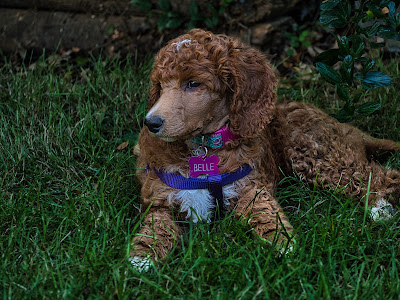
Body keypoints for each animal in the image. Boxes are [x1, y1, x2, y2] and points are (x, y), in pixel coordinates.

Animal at [130, 29, 398, 270]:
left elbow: (266, 212)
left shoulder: (251, 187)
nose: (151, 123)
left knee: (380, 175)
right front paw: (141, 257)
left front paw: (283, 243)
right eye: (160, 85)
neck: (204, 149)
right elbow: (156, 227)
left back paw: (380, 207)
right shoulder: (162, 199)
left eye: (193, 83)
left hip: (315, 152)